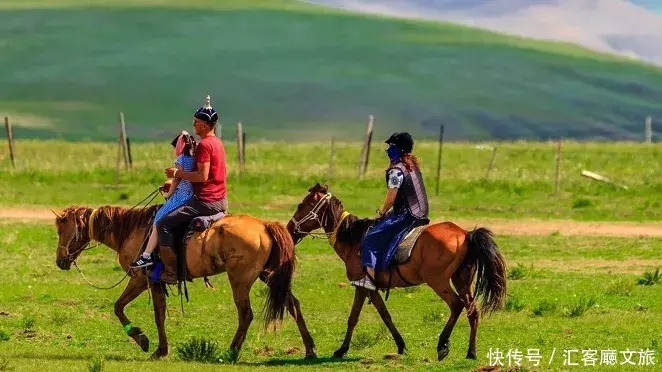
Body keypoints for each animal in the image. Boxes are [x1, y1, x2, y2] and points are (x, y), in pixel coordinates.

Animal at [53, 203, 318, 360]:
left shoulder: (140, 280)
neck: (131, 231)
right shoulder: (156, 283)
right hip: (270, 275)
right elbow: (158, 314)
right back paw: (310, 349)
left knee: (246, 314)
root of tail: (265, 225)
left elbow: (120, 308)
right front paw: (159, 348)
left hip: (240, 280)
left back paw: (231, 352)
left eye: (61, 229)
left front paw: (144, 341)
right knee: (293, 305)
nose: (60, 261)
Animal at [286, 185, 508, 362]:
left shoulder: (360, 285)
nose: (289, 229)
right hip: (462, 280)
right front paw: (401, 346)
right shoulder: (371, 288)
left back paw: (442, 346)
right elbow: (386, 316)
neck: (354, 239)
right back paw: (471, 352)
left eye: (302, 205)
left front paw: (341, 350)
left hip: (438, 281)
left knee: (456, 305)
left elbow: (353, 317)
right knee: (473, 310)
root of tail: (465, 234)